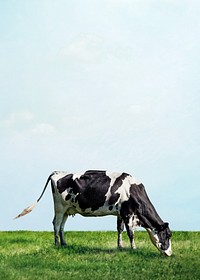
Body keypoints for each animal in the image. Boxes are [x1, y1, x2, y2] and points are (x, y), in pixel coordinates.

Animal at [15, 171, 172, 256]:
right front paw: (133, 249)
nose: (170, 254)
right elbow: (130, 233)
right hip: (59, 207)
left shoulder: (120, 213)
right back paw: (57, 245)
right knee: (56, 224)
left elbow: (120, 230)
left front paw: (120, 247)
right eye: (168, 235)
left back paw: (64, 244)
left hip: (67, 209)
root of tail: (58, 172)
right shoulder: (127, 213)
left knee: (62, 226)